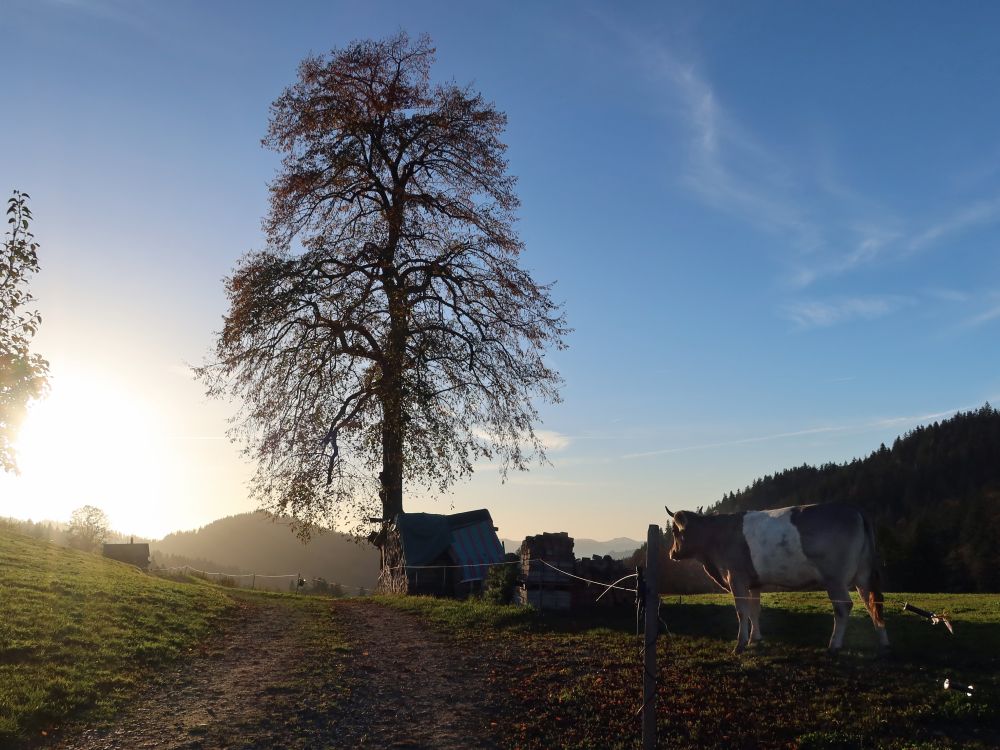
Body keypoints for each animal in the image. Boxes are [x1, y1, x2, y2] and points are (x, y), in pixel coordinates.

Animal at [664, 506, 892, 656]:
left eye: (674, 531)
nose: (671, 553)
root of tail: (855, 511)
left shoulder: (736, 577)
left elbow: (742, 611)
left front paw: (740, 644)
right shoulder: (754, 583)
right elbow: (754, 610)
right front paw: (755, 638)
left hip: (835, 578)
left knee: (844, 607)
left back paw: (834, 644)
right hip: (863, 576)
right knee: (873, 602)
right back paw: (883, 642)